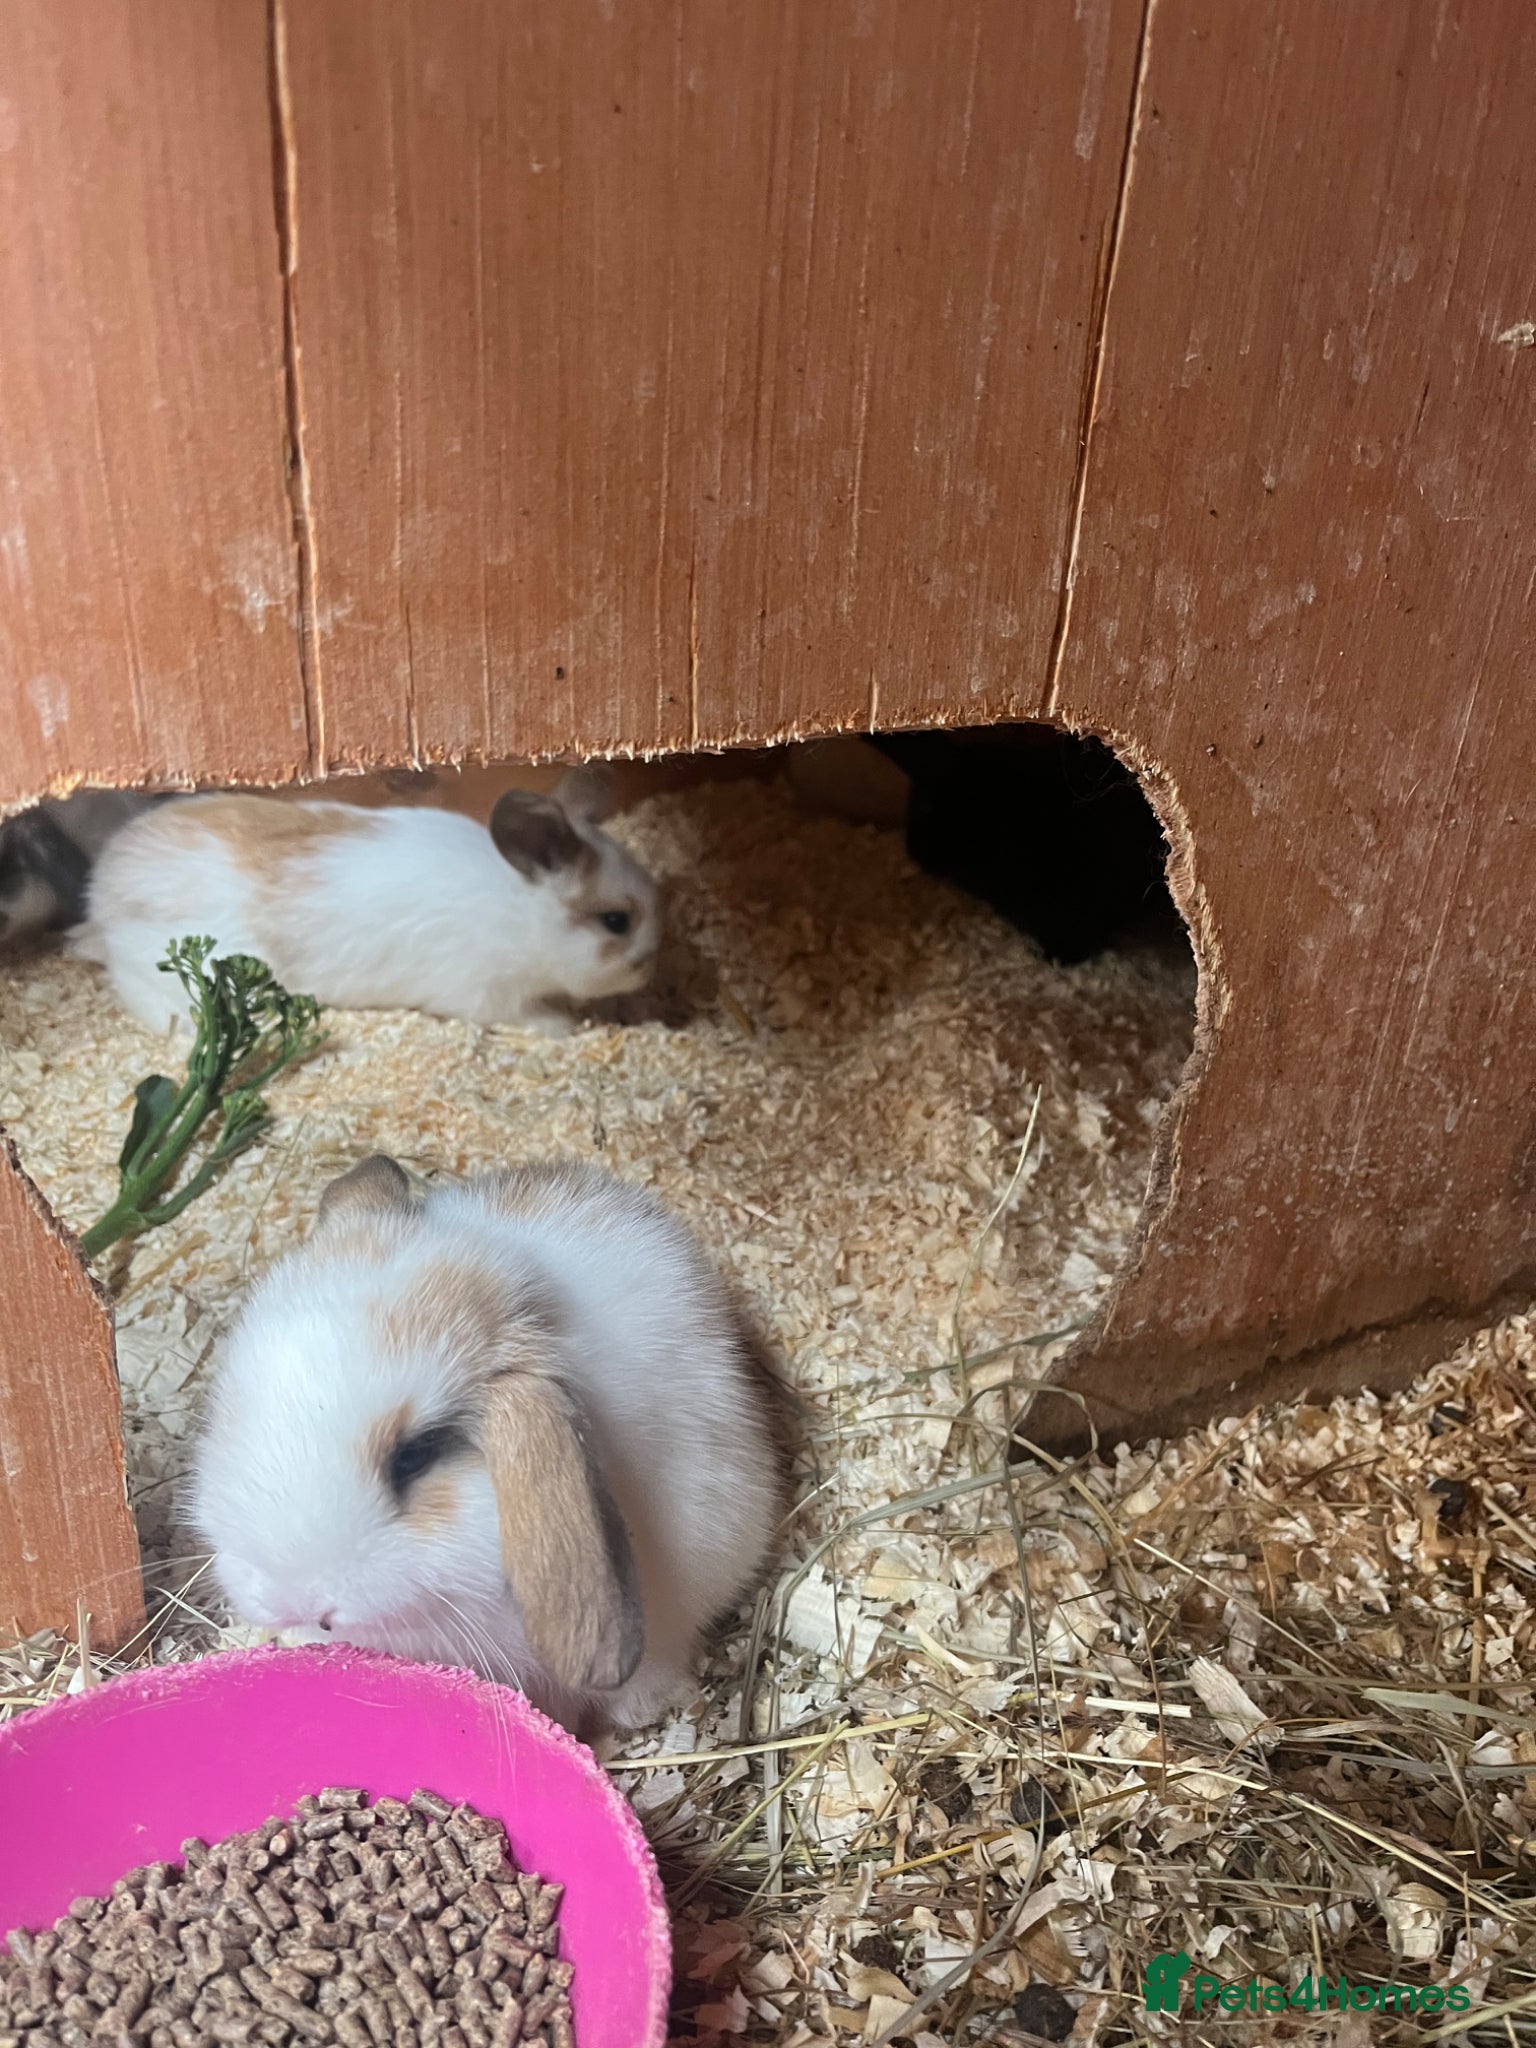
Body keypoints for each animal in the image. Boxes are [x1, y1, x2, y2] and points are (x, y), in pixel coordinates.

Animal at [68, 767, 660, 1034]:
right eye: (616, 921)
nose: (651, 964)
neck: (521, 911)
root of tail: (101, 902)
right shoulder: (489, 995)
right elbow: (527, 1018)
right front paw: (566, 1027)